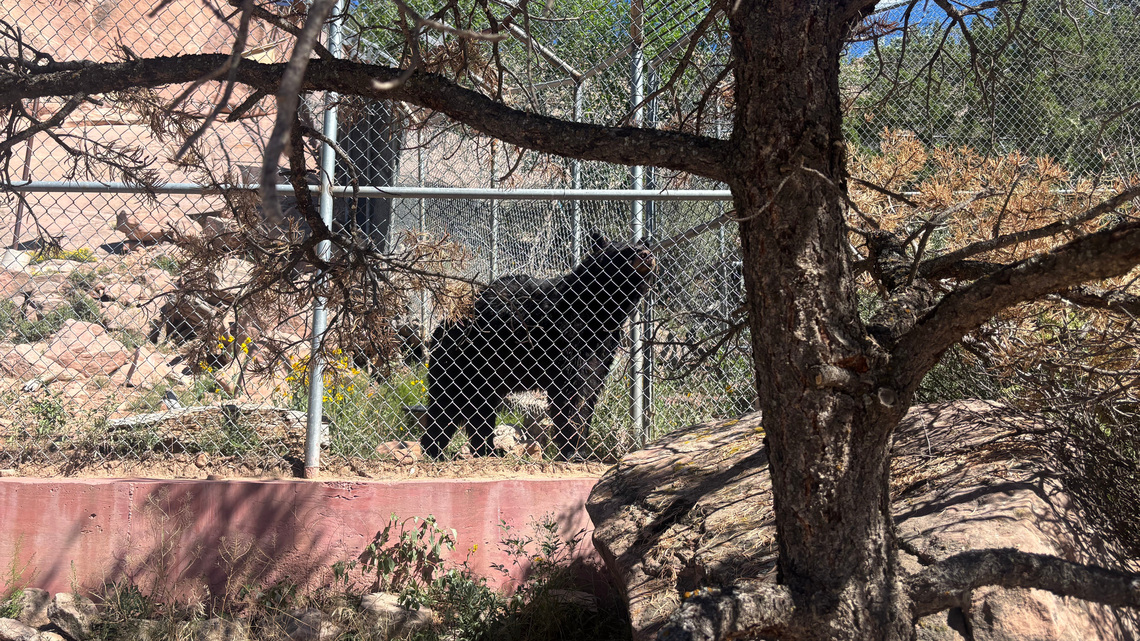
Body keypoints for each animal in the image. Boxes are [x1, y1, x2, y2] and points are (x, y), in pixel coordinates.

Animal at [421, 233, 656, 460]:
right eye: (625, 251)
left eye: (643, 246)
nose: (647, 255)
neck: (600, 311)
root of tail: (444, 324)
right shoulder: (567, 335)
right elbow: (570, 391)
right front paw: (571, 450)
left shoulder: (604, 345)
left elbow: (590, 390)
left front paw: (581, 449)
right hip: (462, 361)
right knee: (447, 403)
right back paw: (434, 450)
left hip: (487, 375)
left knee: (481, 409)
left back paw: (487, 449)